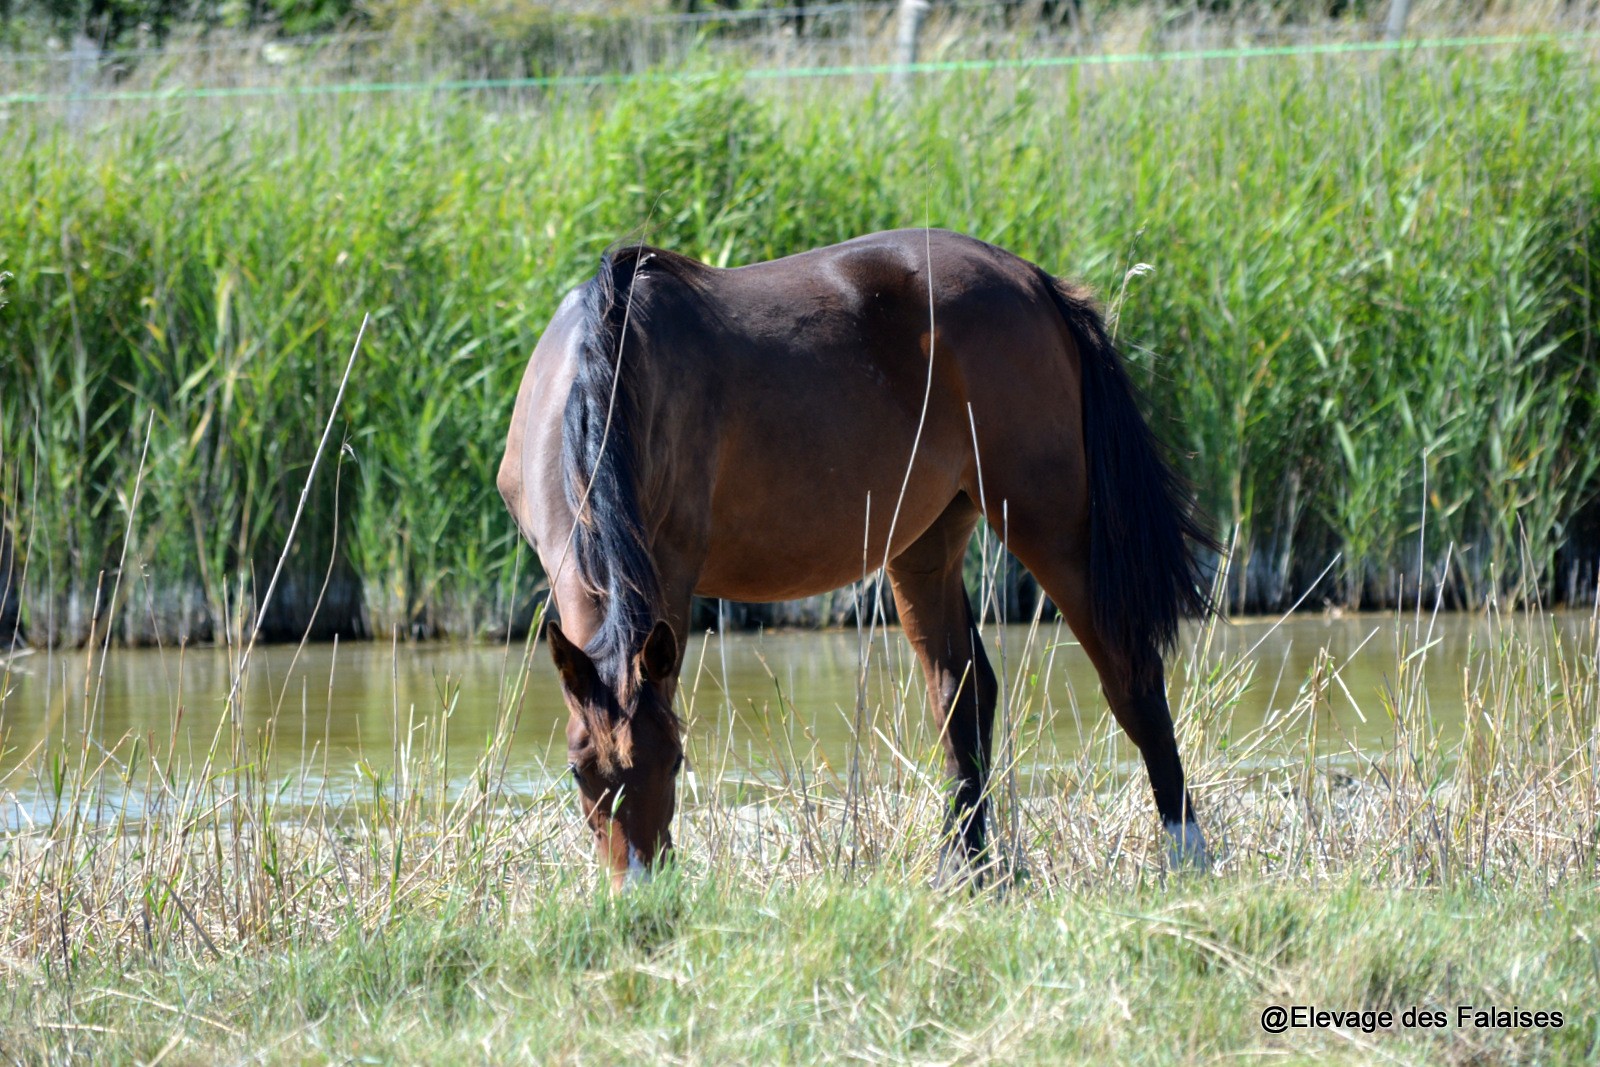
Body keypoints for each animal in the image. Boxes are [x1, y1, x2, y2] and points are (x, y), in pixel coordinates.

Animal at [499, 230, 1209, 889]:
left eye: (676, 759)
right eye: (579, 771)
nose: (642, 889)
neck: (613, 368)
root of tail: (1031, 281)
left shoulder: (671, 574)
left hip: (1049, 520)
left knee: (1131, 675)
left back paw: (1186, 853)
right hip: (925, 541)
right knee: (961, 690)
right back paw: (964, 869)